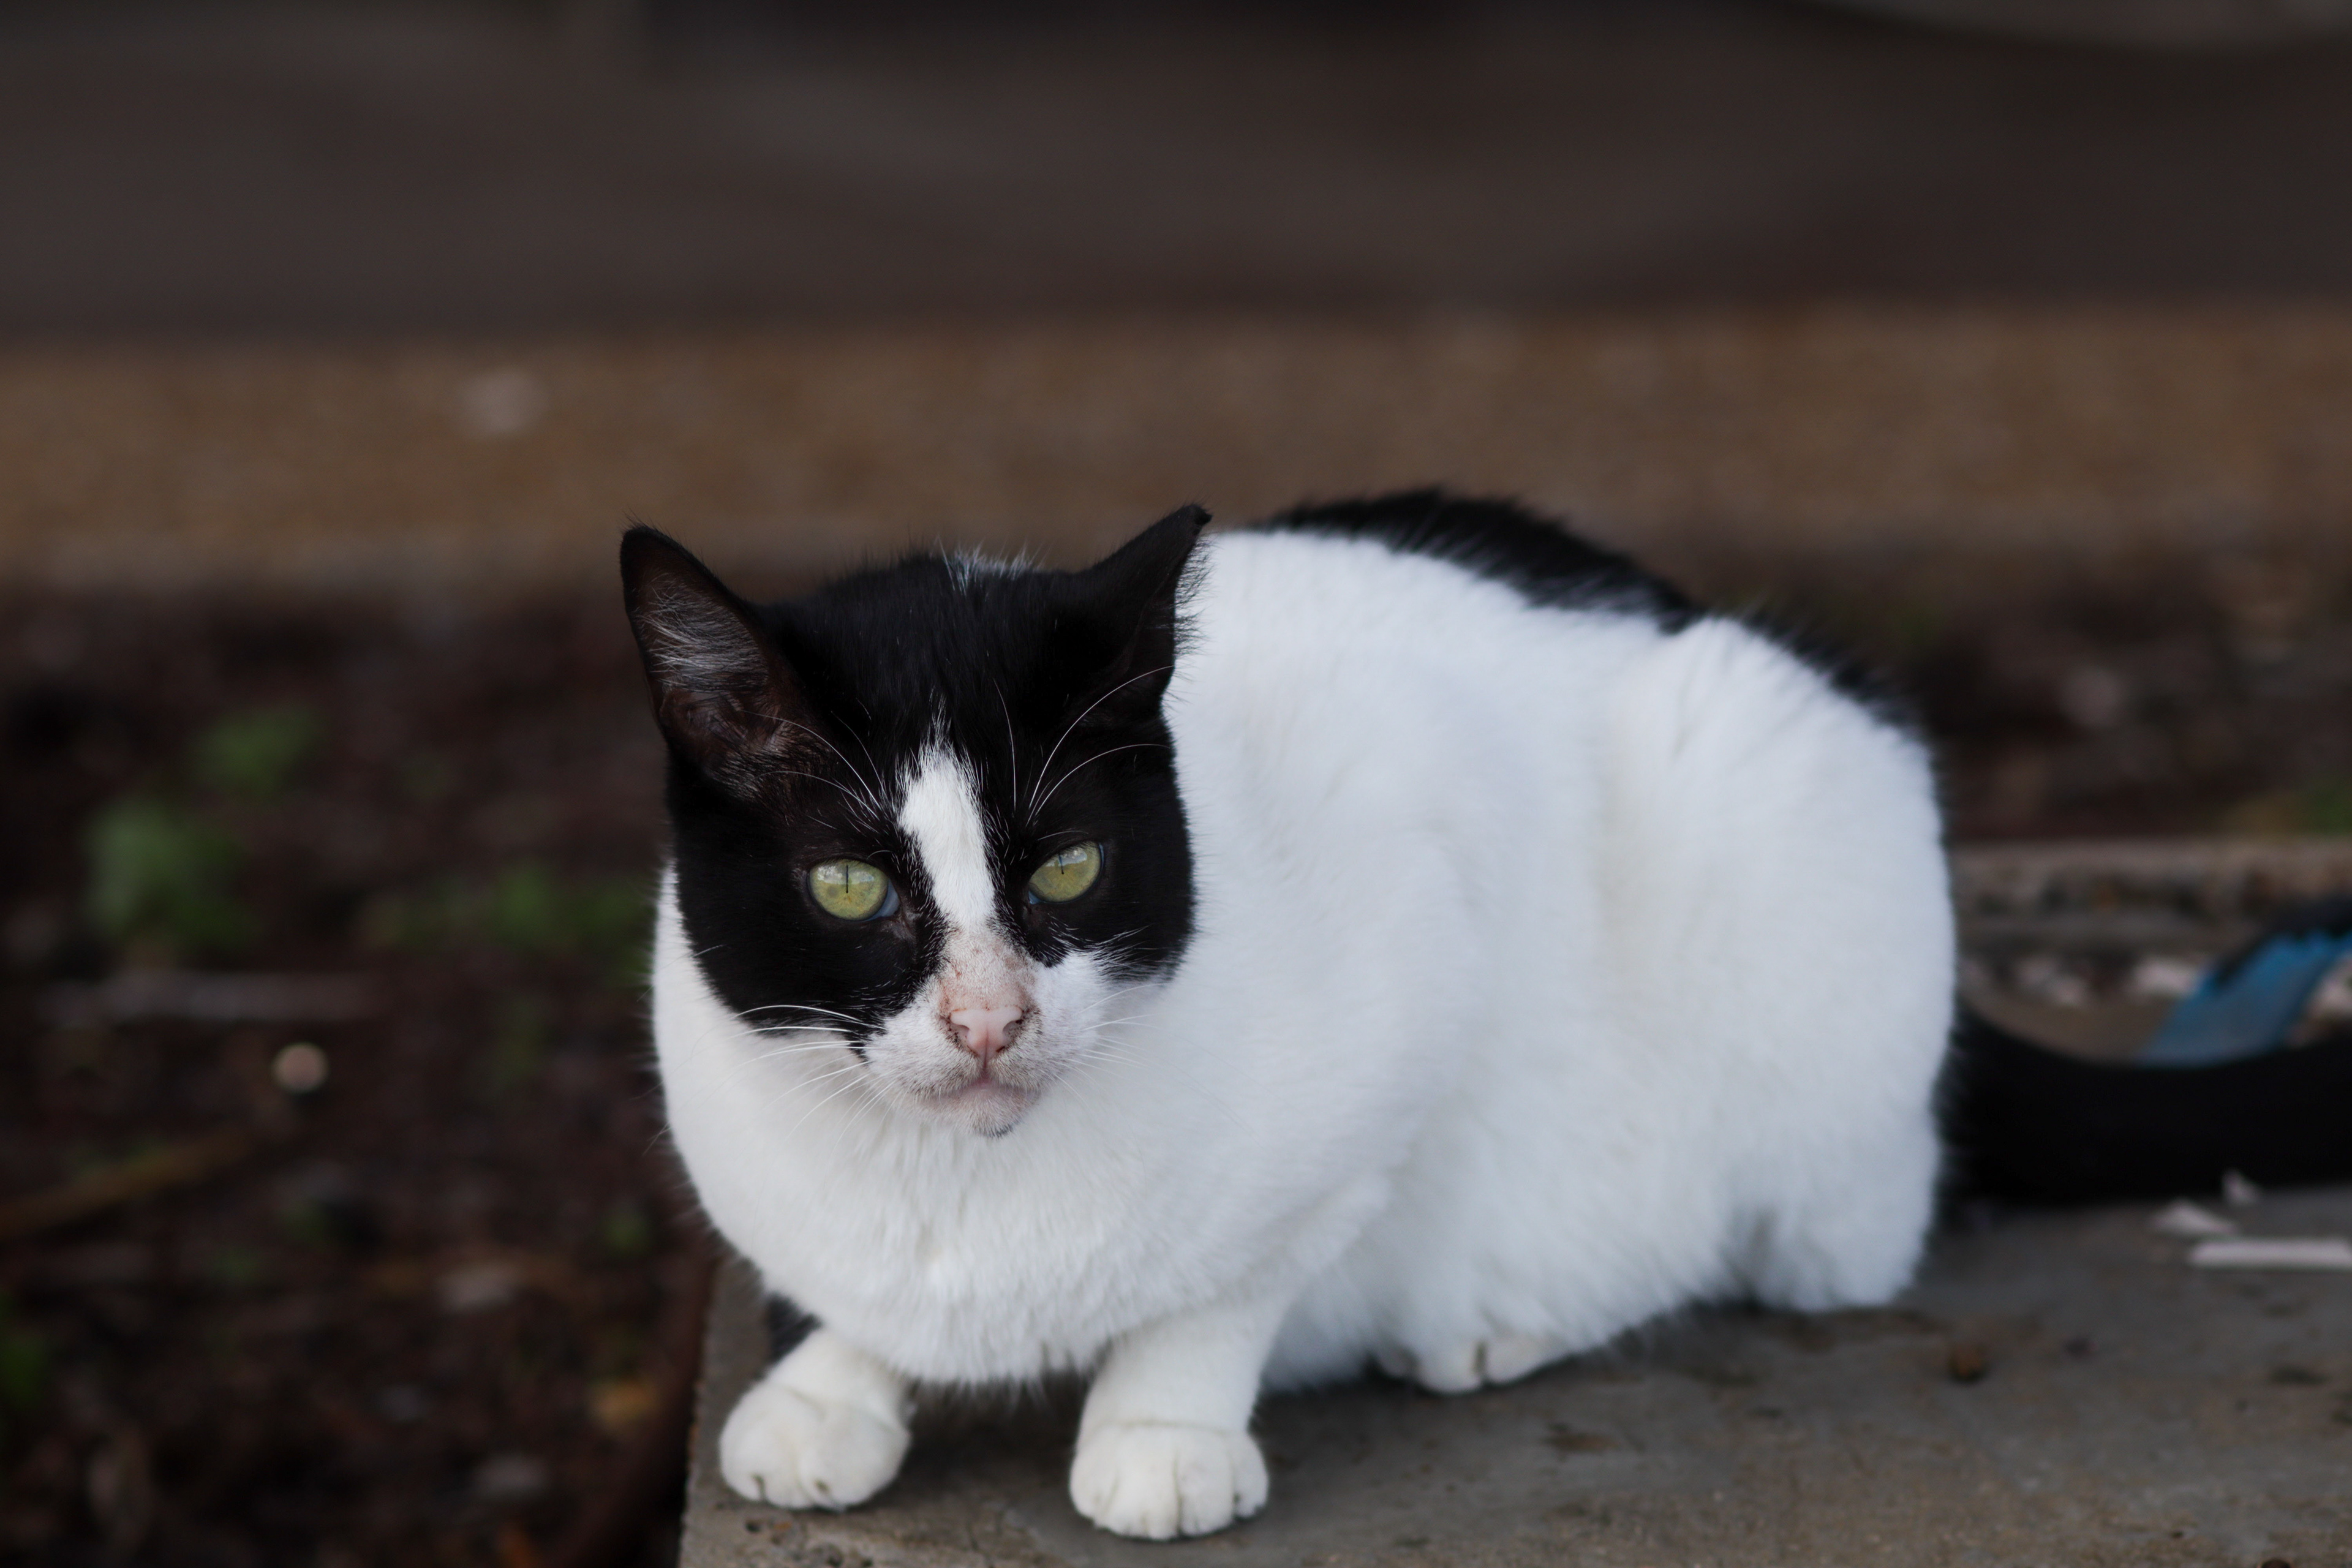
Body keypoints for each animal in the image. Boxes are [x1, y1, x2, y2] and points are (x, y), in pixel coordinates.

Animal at [620, 493, 2352, 1542]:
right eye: (853, 886)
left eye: (1065, 866)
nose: (986, 1019)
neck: (962, 1204)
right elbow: (838, 1294)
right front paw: (830, 1382)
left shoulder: (1405, 991)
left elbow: (1234, 1277)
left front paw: (1163, 1423)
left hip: (1779, 836)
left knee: (1815, 1230)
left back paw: (1495, 1317)